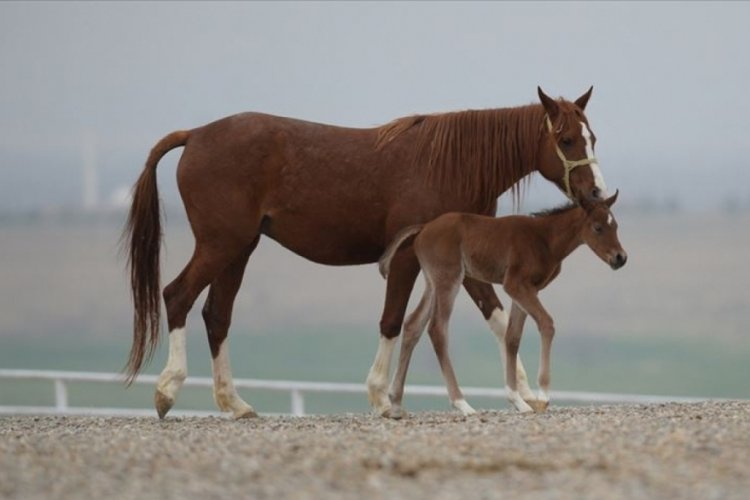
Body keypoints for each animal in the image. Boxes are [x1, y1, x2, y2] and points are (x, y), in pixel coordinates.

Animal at [378, 191, 626, 416]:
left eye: (615, 226)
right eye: (597, 227)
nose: (620, 258)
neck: (544, 238)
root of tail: (423, 228)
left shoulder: (525, 290)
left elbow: (512, 337)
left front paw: (518, 401)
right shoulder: (516, 285)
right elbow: (546, 324)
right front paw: (543, 396)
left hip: (433, 282)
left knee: (413, 324)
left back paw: (396, 402)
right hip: (449, 279)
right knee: (437, 329)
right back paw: (462, 404)